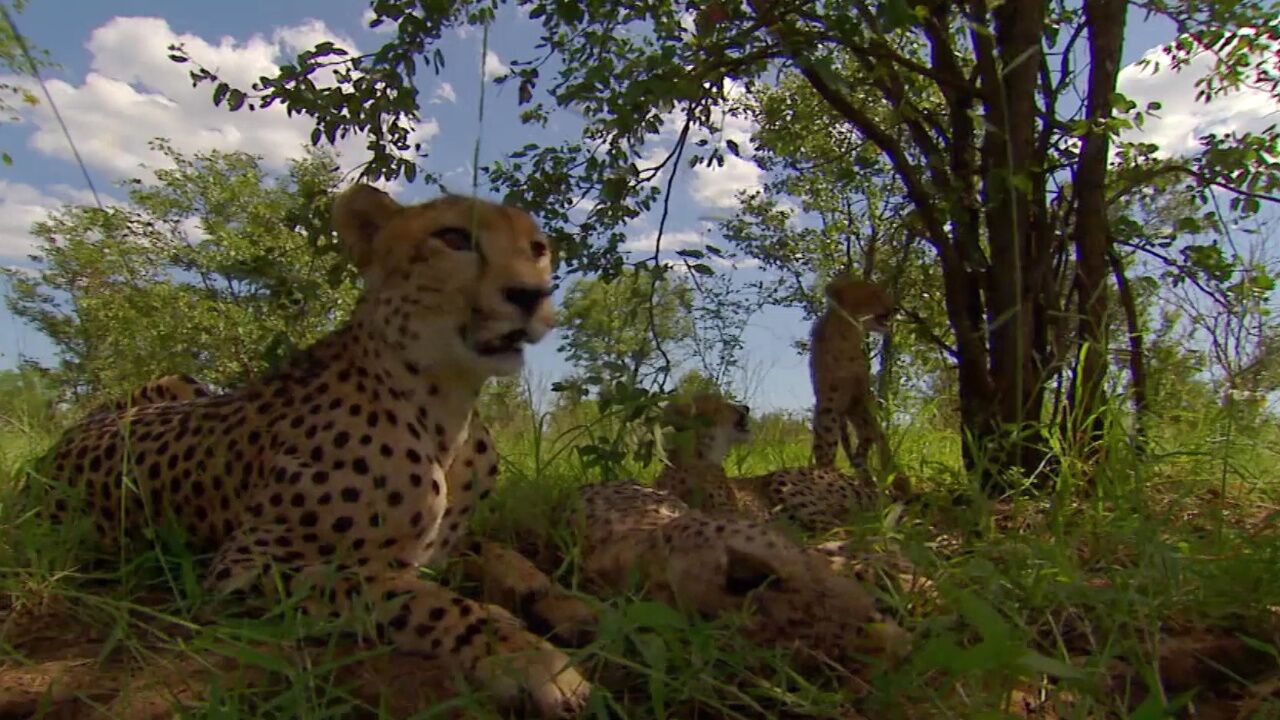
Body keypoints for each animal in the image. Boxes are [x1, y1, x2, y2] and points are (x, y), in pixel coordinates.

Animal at [31, 183, 588, 712]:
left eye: (537, 249)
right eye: (453, 238)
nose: (531, 294)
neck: (444, 407)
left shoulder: (444, 545)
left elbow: (501, 554)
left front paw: (571, 607)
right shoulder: (246, 567)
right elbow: (414, 597)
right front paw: (528, 658)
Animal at [814, 274, 896, 471]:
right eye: (874, 294)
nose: (895, 308)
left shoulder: (861, 396)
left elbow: (872, 429)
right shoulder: (829, 402)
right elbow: (828, 438)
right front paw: (826, 469)